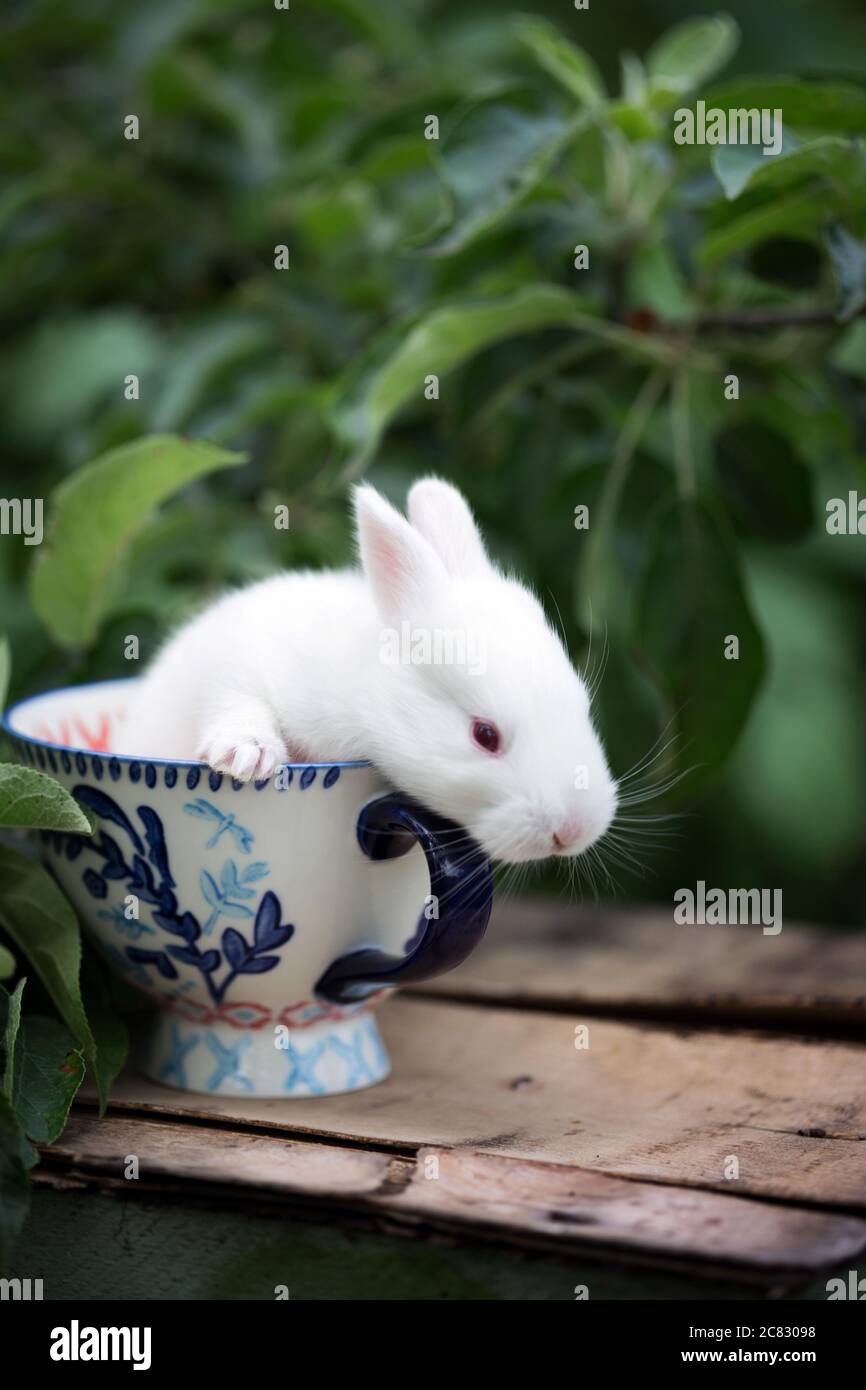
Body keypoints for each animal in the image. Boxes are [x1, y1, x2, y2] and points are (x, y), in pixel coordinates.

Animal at [115, 478, 618, 863]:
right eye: (484, 735)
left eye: (583, 708)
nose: (574, 830)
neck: (365, 692)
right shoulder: (240, 668)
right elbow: (235, 698)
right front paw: (247, 756)